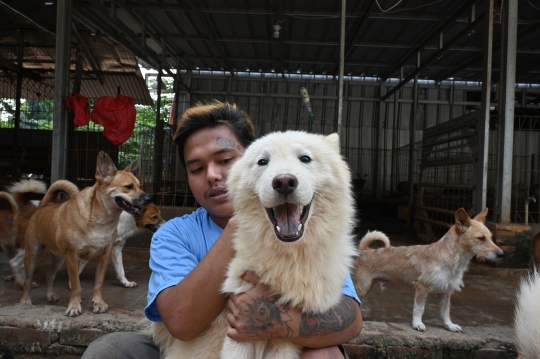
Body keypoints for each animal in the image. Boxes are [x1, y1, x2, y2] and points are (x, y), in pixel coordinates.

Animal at [19, 152, 150, 318]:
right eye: (128, 187)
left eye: (140, 186)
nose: (149, 199)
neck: (101, 219)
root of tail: (46, 205)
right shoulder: (73, 258)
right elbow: (76, 286)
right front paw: (74, 306)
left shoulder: (104, 256)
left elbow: (98, 284)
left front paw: (99, 303)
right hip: (33, 256)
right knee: (28, 280)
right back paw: (25, 301)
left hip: (59, 258)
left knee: (50, 275)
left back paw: (50, 295)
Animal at [152, 131, 356, 358]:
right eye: (263, 162)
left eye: (305, 158)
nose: (284, 182)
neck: (288, 255)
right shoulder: (241, 317)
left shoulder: (287, 332)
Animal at [352, 210, 504, 334]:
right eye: (481, 238)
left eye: (491, 237)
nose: (502, 254)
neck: (451, 259)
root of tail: (364, 250)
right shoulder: (422, 288)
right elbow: (419, 308)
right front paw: (417, 324)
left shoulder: (446, 293)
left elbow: (445, 312)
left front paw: (450, 325)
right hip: (362, 286)